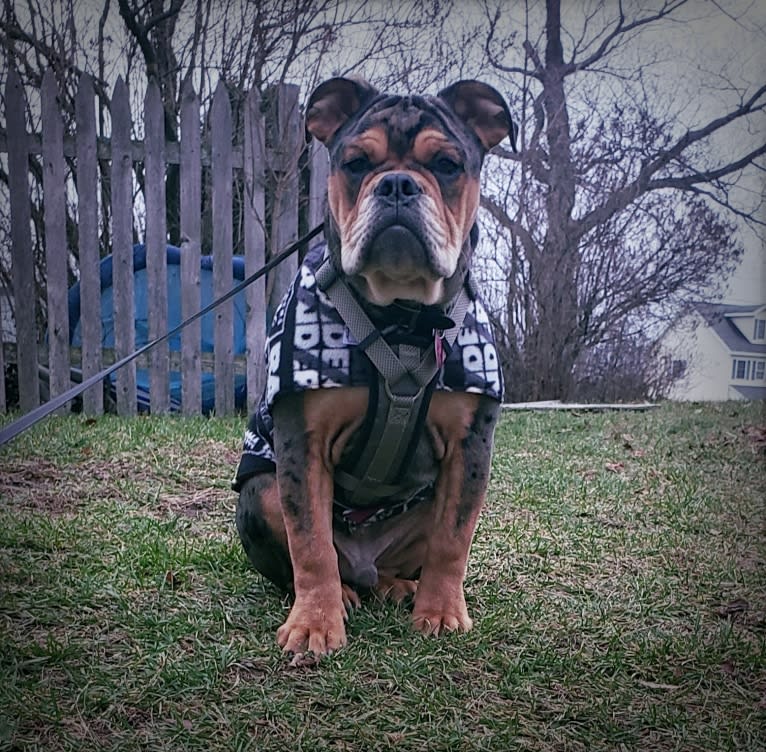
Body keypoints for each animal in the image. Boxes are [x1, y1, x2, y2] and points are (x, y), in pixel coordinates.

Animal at [232, 76, 516, 652]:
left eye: (448, 165)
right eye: (356, 163)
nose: (399, 185)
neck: (402, 319)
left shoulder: (470, 448)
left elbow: (453, 540)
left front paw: (441, 613)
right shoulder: (301, 444)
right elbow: (310, 542)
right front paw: (314, 624)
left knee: (407, 556)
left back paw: (397, 586)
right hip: (260, 492)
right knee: (309, 560)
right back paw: (343, 593)